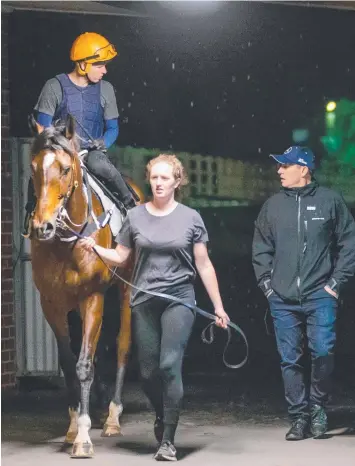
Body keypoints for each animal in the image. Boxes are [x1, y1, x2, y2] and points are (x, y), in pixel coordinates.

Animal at [27, 114, 144, 456]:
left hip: (125, 290)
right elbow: (70, 363)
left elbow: (84, 365)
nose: (42, 227)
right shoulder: (51, 303)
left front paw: (83, 437)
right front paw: (72, 427)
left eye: (65, 169)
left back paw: (113, 416)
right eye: (33, 168)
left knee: (121, 345)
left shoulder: (93, 297)